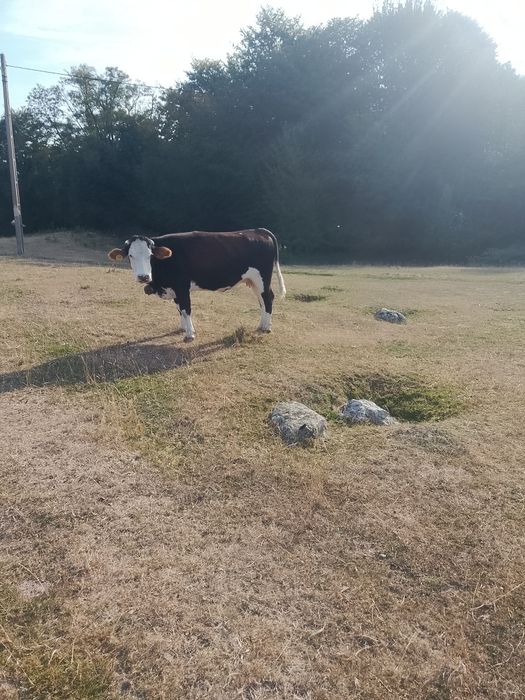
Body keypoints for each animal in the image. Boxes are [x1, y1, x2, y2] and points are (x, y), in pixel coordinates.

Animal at [108, 228, 286, 341]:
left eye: (150, 255)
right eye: (130, 256)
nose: (143, 277)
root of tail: (258, 230)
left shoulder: (182, 287)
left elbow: (186, 309)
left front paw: (190, 334)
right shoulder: (174, 290)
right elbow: (179, 309)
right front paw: (183, 328)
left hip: (262, 277)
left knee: (268, 298)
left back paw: (266, 328)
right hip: (253, 280)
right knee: (262, 301)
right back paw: (262, 325)